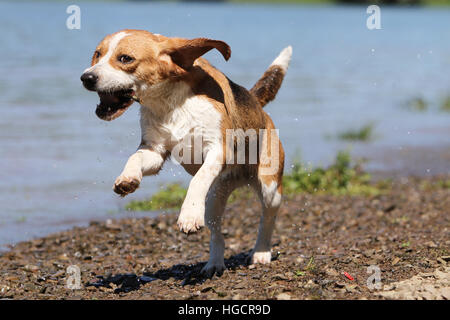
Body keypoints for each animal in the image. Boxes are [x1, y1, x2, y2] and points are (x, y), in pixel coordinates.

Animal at [81, 28, 292, 276]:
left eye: (125, 58)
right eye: (97, 54)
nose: (86, 78)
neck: (170, 101)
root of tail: (257, 104)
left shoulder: (218, 149)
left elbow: (198, 178)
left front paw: (189, 214)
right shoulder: (155, 151)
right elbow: (136, 157)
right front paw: (128, 178)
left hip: (270, 189)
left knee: (267, 220)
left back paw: (261, 252)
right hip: (214, 201)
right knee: (217, 235)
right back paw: (214, 264)